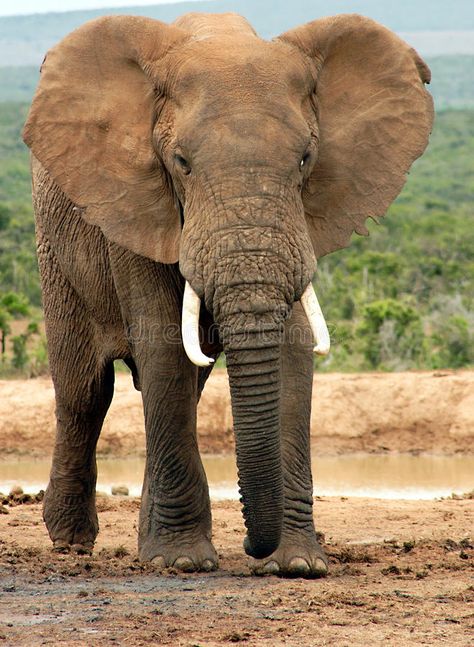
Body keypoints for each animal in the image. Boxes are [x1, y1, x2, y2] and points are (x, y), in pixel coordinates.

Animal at [21, 11, 434, 576]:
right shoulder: (138, 206)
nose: (252, 548)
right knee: (85, 391)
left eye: (305, 159)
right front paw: (181, 562)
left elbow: (292, 347)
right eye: (181, 163)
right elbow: (163, 347)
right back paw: (71, 542)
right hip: (56, 253)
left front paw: (296, 565)